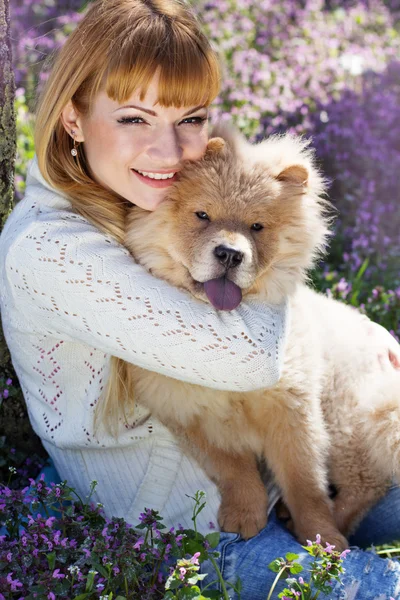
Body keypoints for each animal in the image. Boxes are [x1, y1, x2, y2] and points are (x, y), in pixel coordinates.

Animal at [123, 122, 398, 548]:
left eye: (257, 227)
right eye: (202, 215)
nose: (230, 254)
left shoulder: (293, 410)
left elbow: (305, 484)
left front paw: (322, 539)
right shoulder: (191, 415)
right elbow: (235, 470)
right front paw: (243, 517)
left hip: (347, 417)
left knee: (366, 481)